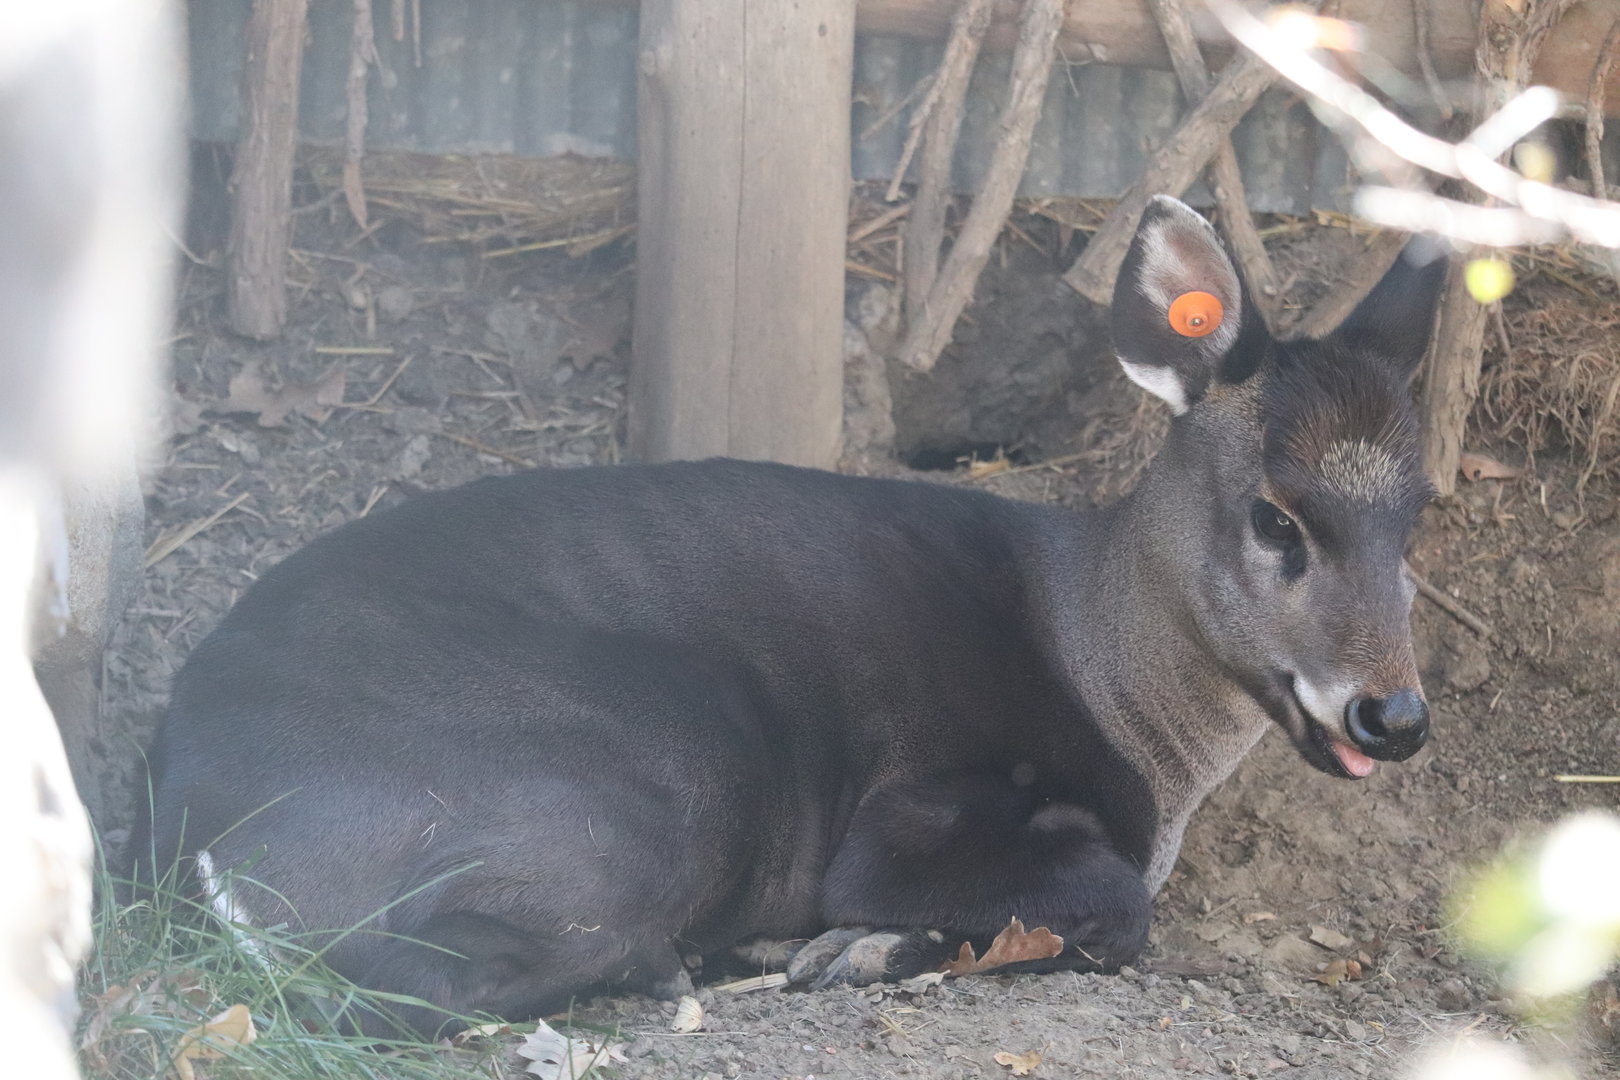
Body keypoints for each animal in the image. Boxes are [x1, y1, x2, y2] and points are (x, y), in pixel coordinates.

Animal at [142, 196, 1445, 1037]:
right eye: (1277, 517)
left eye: (1419, 512)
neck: (1111, 688)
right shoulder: (918, 806)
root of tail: (193, 819)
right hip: (653, 767)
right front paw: (859, 943)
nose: (1394, 716)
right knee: (402, 978)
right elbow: (1116, 906)